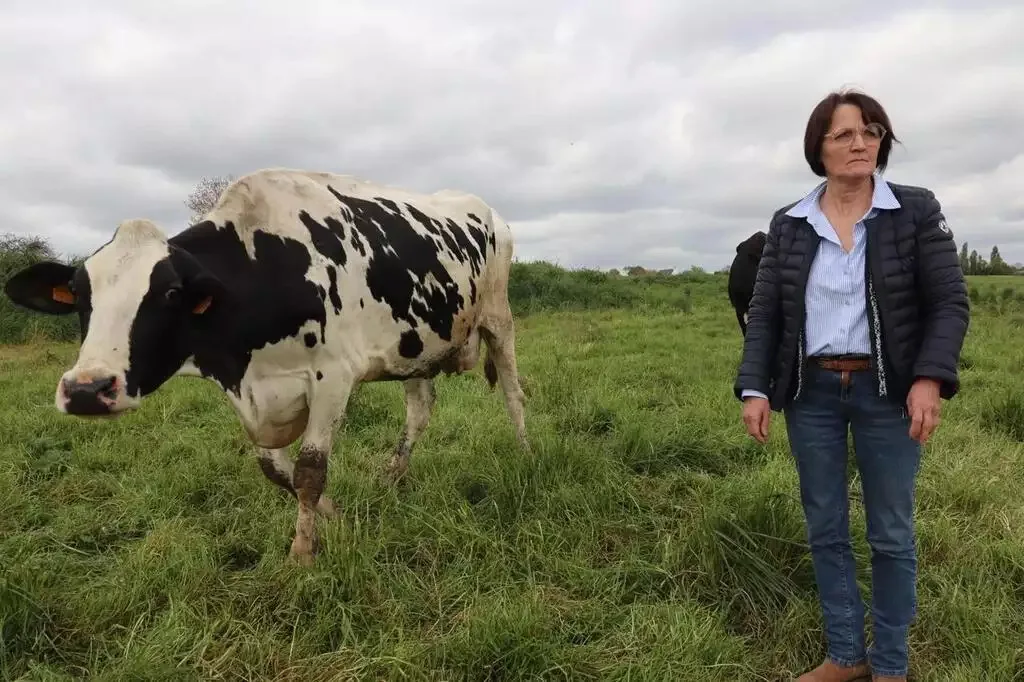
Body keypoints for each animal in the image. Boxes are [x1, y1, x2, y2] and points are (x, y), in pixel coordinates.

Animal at [8, 168, 532, 561]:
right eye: (79, 294)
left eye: (171, 293)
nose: (86, 390)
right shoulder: (253, 394)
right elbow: (276, 470)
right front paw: (334, 515)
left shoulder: (333, 377)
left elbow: (309, 472)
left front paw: (303, 553)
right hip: (415, 346)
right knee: (420, 409)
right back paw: (393, 476)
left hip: (498, 318)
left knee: (512, 393)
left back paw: (526, 453)